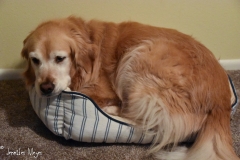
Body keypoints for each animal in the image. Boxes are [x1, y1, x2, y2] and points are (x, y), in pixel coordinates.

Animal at [21, 16, 239, 159]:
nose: (46, 88)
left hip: (139, 57)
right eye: (35, 60)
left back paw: (111, 110)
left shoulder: (102, 88)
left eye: (60, 58)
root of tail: (221, 100)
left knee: (139, 119)